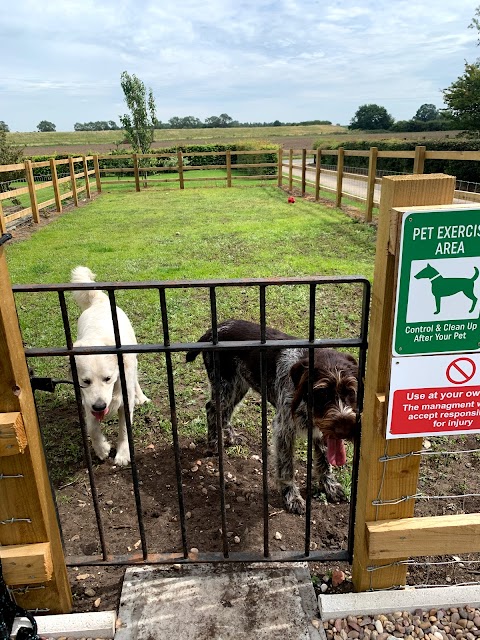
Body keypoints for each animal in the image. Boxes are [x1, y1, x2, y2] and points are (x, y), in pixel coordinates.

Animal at [71, 264, 150, 464]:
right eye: (85, 381)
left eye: (108, 378)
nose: (100, 407)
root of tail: (99, 301)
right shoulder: (88, 399)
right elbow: (92, 427)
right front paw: (102, 449)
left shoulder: (124, 396)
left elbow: (124, 429)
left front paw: (122, 454)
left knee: (135, 380)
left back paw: (141, 397)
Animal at [186, 320, 358, 516]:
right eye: (322, 393)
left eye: (350, 392)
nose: (344, 428)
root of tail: (216, 328)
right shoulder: (284, 430)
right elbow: (286, 467)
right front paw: (291, 496)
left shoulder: (321, 428)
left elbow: (324, 459)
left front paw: (330, 485)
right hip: (225, 386)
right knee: (212, 409)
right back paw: (214, 443)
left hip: (239, 385)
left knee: (224, 413)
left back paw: (231, 437)